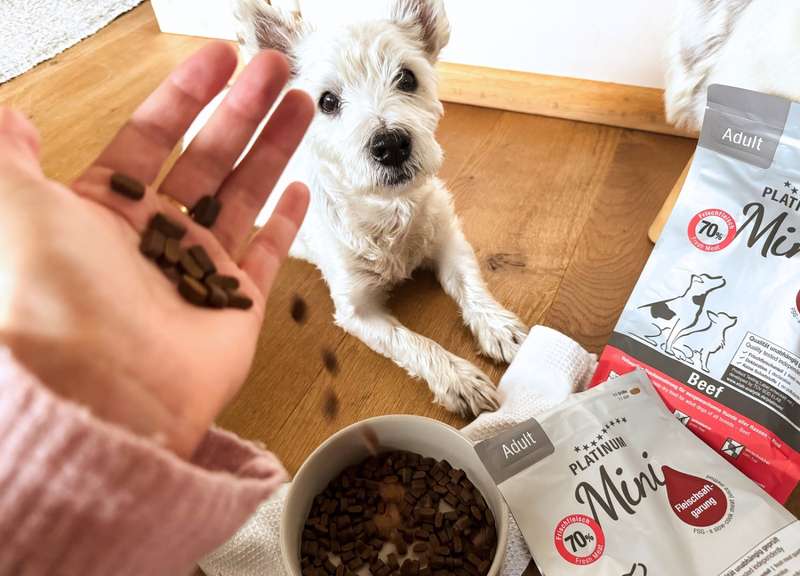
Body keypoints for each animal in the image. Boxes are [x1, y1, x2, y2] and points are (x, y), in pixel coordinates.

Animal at [230, 0, 524, 414]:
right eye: (327, 101)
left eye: (407, 78)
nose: (391, 144)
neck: (388, 210)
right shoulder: (358, 310)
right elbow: (413, 342)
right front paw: (459, 379)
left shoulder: (449, 241)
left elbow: (470, 283)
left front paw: (498, 327)